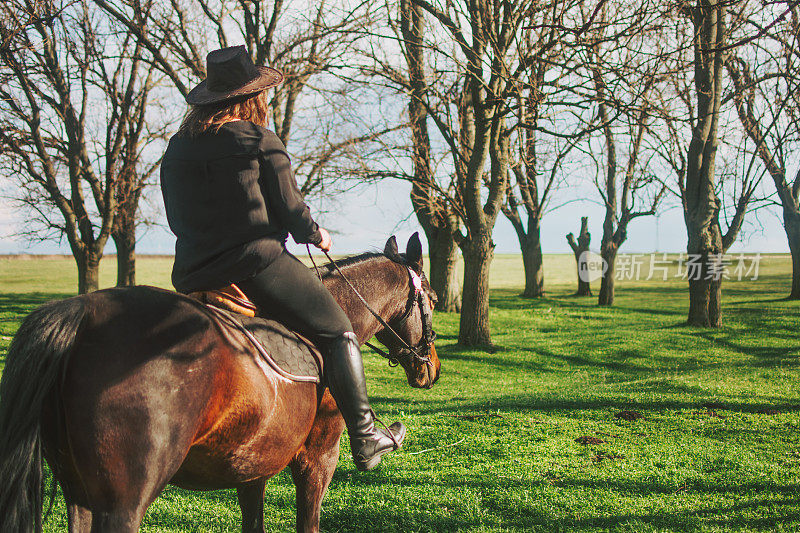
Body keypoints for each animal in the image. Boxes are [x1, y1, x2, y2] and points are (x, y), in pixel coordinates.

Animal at [0, 235, 440, 528]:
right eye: (433, 301)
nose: (431, 369)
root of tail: (82, 313)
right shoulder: (317, 459)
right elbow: (308, 522)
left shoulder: (253, 467)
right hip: (123, 502)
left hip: (80, 494)